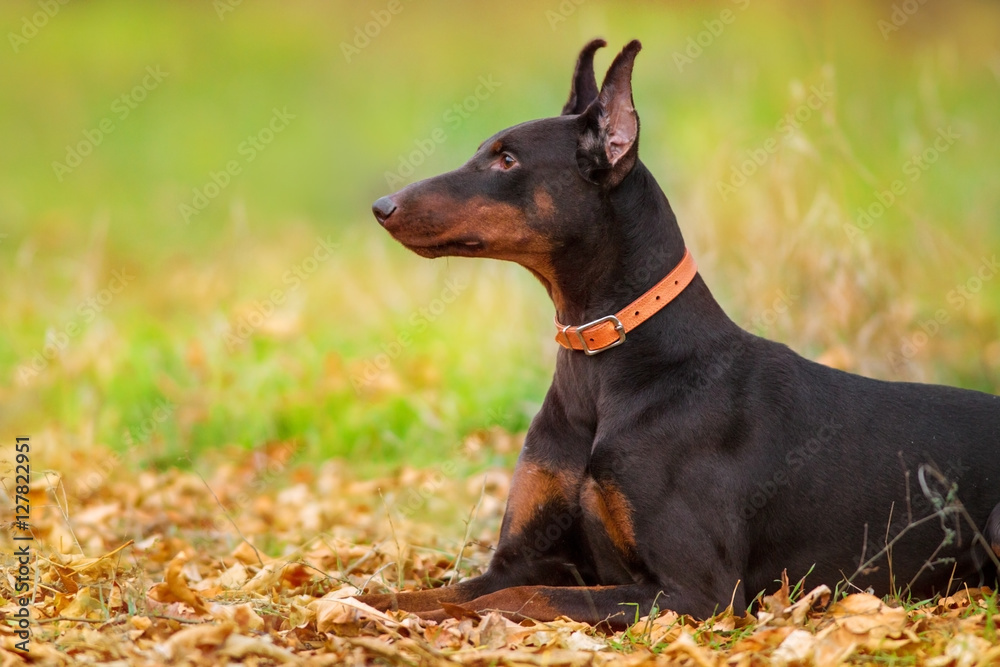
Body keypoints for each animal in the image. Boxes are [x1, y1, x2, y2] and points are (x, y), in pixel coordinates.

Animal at [364, 39, 996, 628]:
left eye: (508, 161)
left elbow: (517, 597)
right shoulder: (519, 558)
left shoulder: (699, 592)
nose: (381, 205)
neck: (607, 363)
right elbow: (433, 592)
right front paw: (364, 606)